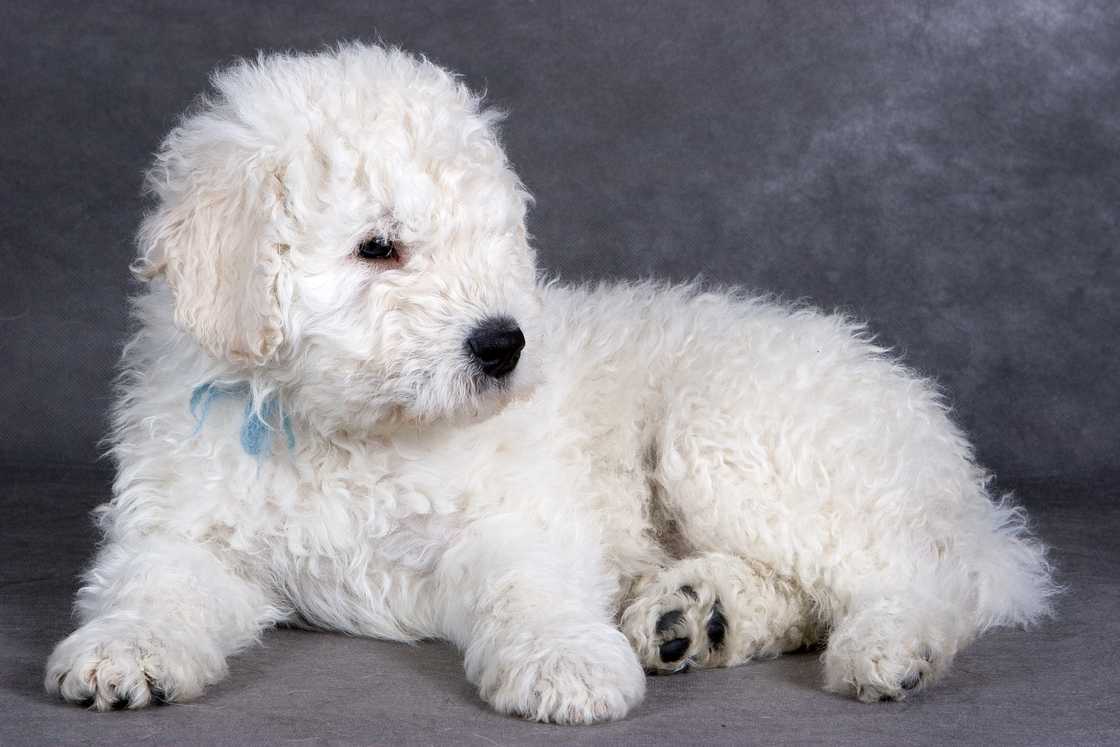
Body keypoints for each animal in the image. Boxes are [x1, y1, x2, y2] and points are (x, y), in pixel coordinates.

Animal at [43, 43, 1052, 721]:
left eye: (491, 239)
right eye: (379, 246)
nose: (504, 345)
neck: (344, 430)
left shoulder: (513, 518)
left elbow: (527, 589)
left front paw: (569, 665)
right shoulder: (180, 530)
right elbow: (154, 586)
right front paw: (121, 653)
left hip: (731, 435)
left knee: (932, 577)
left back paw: (885, 646)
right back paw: (696, 618)